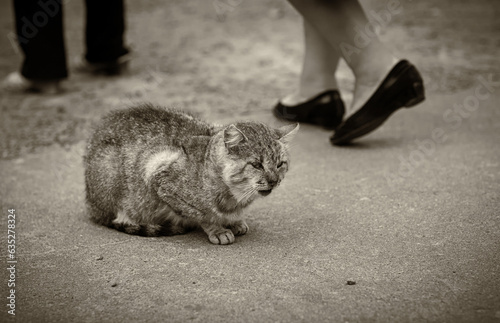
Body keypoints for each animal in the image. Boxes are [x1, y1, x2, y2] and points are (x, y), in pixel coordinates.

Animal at [84, 104, 298, 246]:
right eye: (256, 164)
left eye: (280, 164)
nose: (274, 180)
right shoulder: (158, 174)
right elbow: (200, 213)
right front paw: (217, 229)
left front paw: (234, 221)